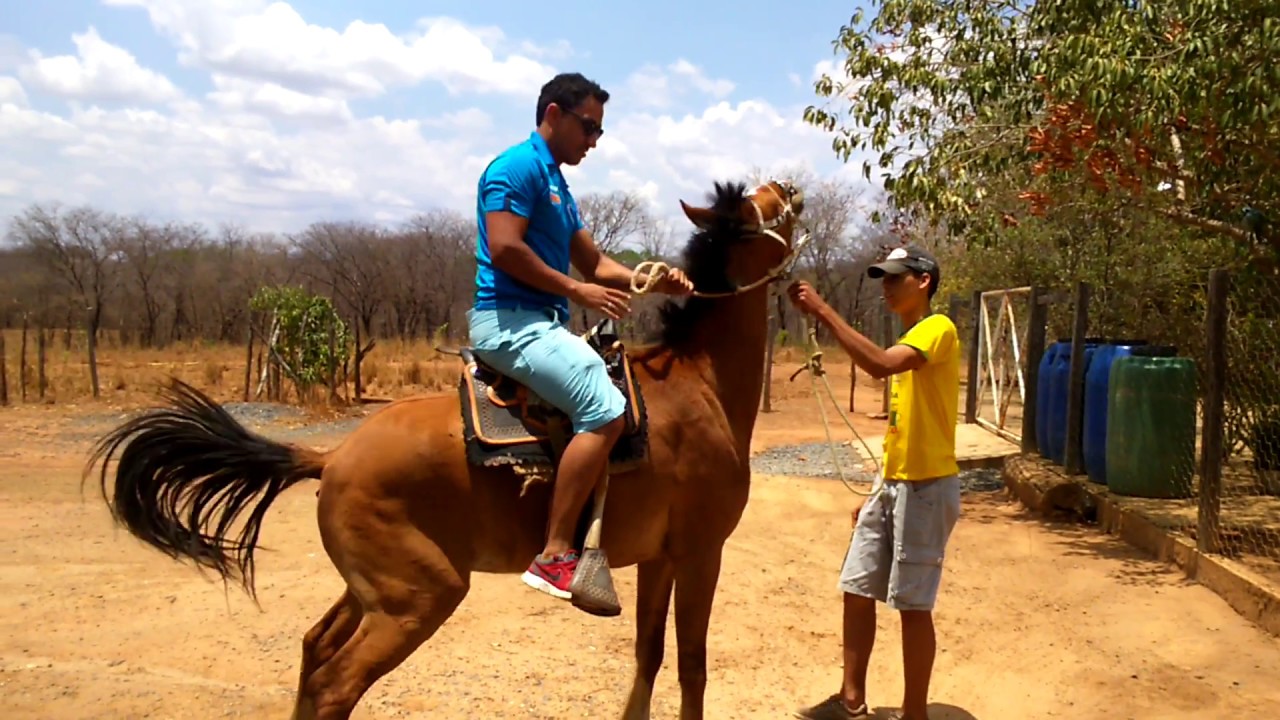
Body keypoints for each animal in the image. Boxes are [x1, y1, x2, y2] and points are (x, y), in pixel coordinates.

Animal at [87, 176, 808, 712]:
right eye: (759, 210)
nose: (789, 186)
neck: (696, 382)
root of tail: (332, 457)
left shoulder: (660, 559)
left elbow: (649, 657)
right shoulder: (701, 552)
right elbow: (692, 667)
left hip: (375, 590)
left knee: (315, 651)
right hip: (418, 599)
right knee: (334, 685)